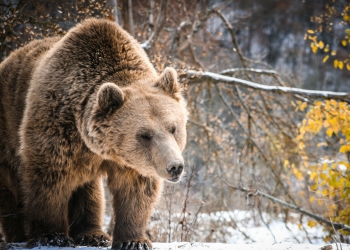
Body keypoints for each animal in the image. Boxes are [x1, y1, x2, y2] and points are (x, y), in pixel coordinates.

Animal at [0, 18, 187, 249]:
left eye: (173, 128)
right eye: (145, 134)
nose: (175, 166)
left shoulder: (130, 162)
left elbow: (135, 190)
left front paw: (133, 240)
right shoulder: (56, 127)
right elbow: (49, 177)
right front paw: (52, 235)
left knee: (88, 189)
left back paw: (93, 235)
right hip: (7, 126)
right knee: (10, 185)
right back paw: (19, 234)